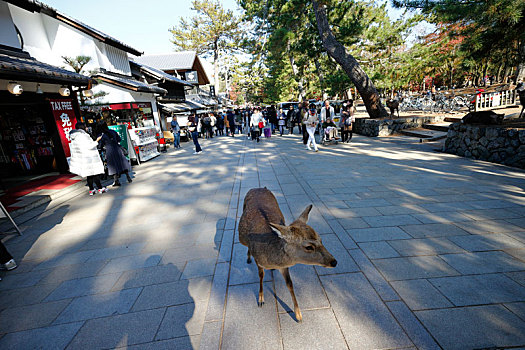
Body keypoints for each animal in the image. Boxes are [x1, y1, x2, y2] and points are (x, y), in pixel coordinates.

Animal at [237, 187, 336, 322]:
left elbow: (290, 284)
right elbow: (261, 275)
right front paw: (261, 299)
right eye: (309, 247)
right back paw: (248, 257)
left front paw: (298, 315)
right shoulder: (258, 260)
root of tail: (259, 187)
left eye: (321, 239)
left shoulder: (284, 267)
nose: (334, 262)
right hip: (241, 236)